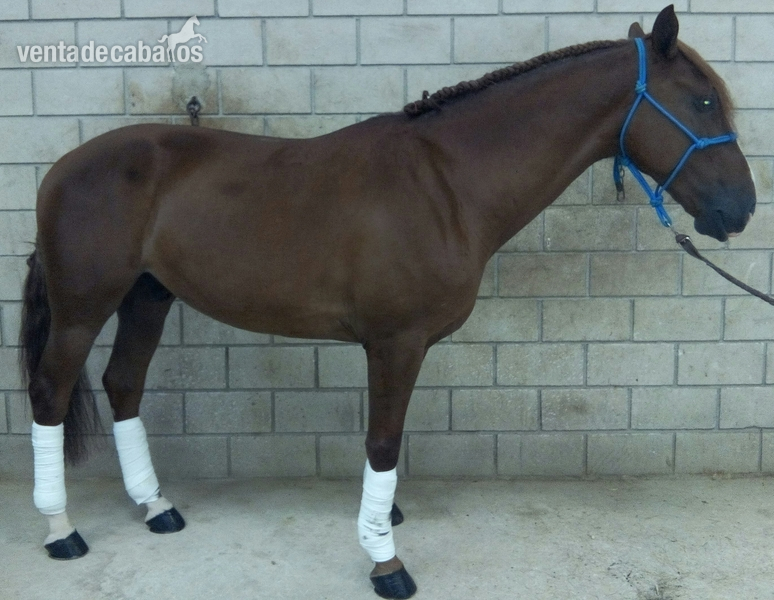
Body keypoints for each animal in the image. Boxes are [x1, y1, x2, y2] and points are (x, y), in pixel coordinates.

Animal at [19, 6, 755, 599]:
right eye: (700, 102)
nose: (741, 209)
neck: (446, 184)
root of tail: (61, 169)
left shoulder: (399, 344)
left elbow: (386, 445)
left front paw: (384, 522)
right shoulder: (395, 342)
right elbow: (383, 442)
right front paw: (385, 559)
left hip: (148, 296)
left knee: (123, 384)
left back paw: (156, 508)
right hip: (85, 306)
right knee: (51, 391)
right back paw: (60, 531)